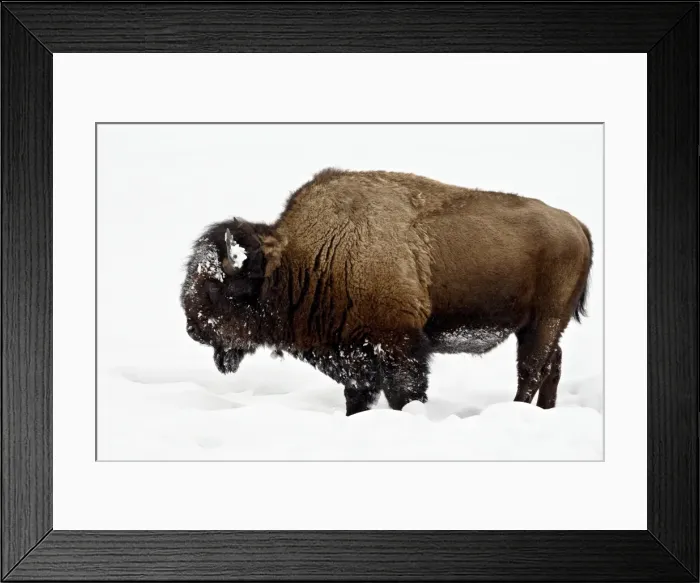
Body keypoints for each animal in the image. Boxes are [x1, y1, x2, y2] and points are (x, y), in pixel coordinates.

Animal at [181, 168, 593, 415]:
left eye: (216, 288)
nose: (191, 327)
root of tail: (576, 224)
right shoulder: (354, 354)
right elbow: (358, 395)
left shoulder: (398, 346)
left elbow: (404, 393)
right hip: (541, 327)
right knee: (551, 365)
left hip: (542, 323)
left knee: (531, 370)